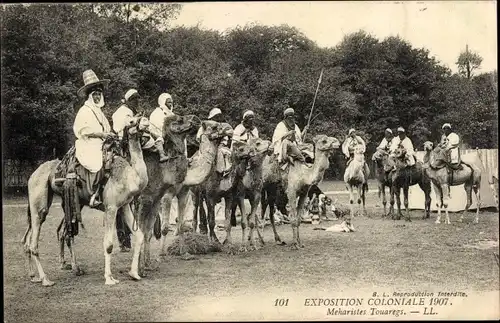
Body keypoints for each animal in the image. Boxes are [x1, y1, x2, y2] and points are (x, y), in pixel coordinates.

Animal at [22, 116, 150, 286]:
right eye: (131, 121)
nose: (146, 122)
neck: (129, 176)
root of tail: (32, 175)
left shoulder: (124, 207)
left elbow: (140, 236)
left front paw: (134, 273)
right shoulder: (111, 207)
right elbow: (109, 244)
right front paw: (109, 278)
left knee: (41, 236)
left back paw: (37, 275)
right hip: (39, 201)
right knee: (35, 239)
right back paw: (46, 279)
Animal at [136, 117, 231, 270]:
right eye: (214, 126)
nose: (229, 128)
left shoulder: (183, 194)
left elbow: (180, 225)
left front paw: (185, 253)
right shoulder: (166, 196)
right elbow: (164, 227)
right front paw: (161, 255)